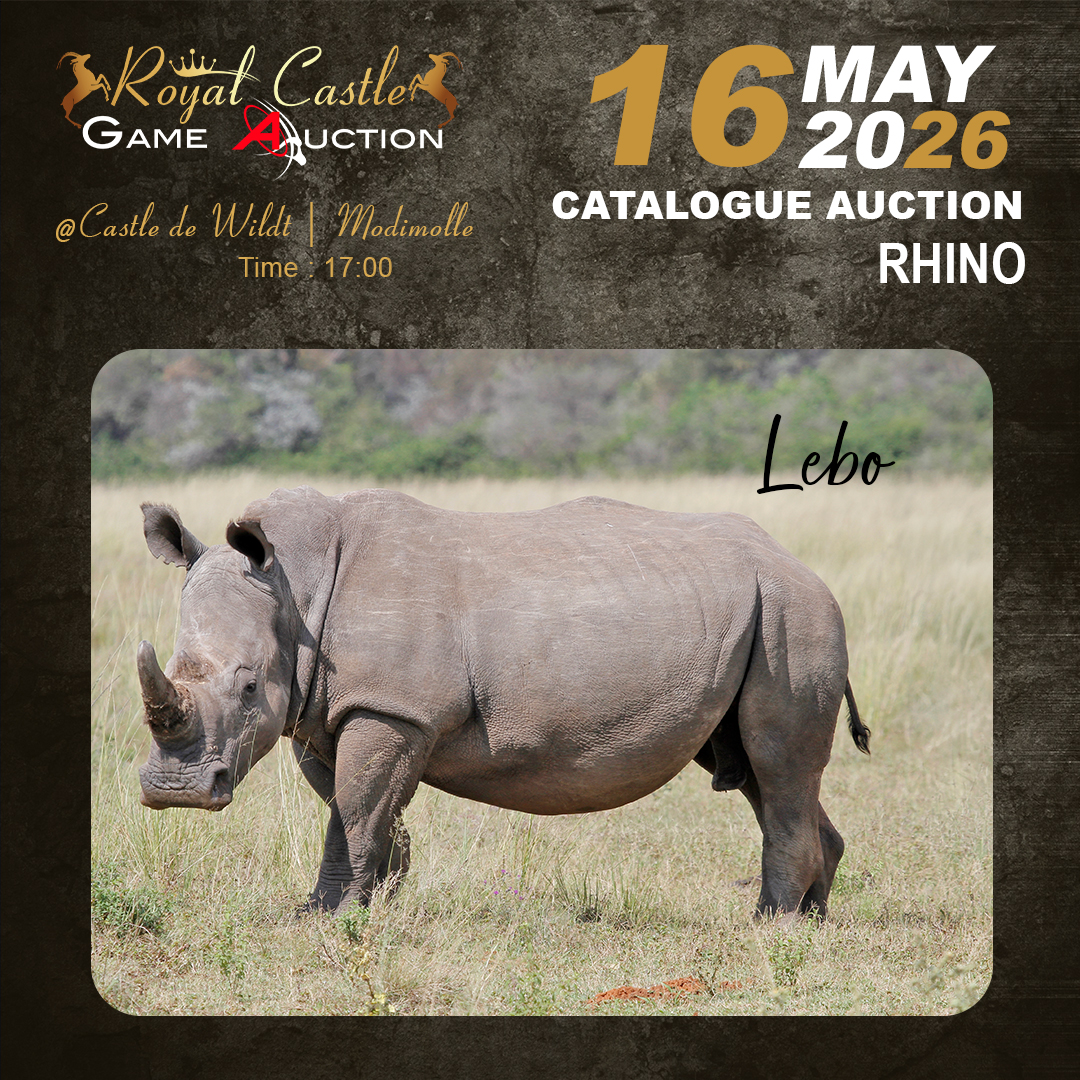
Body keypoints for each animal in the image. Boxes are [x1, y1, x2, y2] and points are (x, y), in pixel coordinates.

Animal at [136, 486, 869, 919]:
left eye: (249, 687)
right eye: (169, 668)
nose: (176, 792)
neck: (295, 583)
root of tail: (803, 567)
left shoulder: (387, 707)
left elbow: (356, 806)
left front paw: (338, 918)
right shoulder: (327, 710)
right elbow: (354, 808)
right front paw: (358, 903)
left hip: (793, 613)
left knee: (776, 766)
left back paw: (769, 927)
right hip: (764, 611)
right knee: (757, 772)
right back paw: (811, 921)